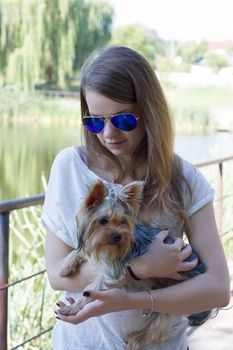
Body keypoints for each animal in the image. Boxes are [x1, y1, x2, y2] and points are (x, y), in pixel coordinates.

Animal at [57, 179, 211, 348]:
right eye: (103, 220)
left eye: (123, 221)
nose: (118, 236)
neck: (106, 246)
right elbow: (80, 251)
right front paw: (66, 266)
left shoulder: (112, 271)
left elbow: (91, 290)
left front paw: (73, 308)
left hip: (181, 296)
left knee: (158, 328)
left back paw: (136, 339)